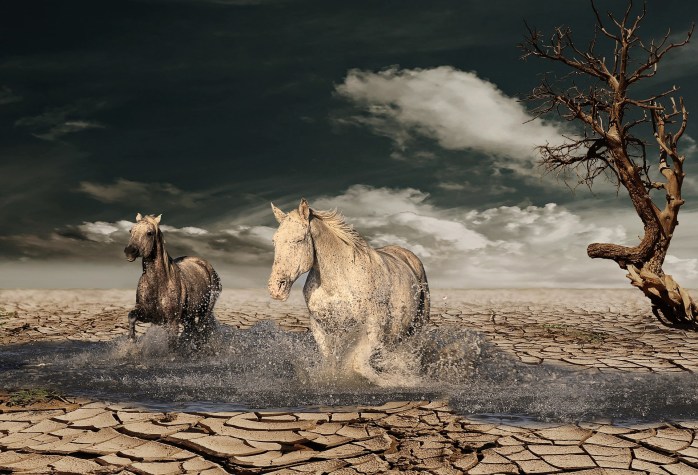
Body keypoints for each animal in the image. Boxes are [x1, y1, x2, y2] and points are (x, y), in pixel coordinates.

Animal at [124, 213, 222, 349]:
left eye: (149, 233)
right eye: (131, 231)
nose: (130, 251)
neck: (159, 284)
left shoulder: (173, 322)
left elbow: (172, 344)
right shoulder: (148, 315)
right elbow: (131, 316)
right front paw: (132, 340)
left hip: (204, 311)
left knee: (200, 330)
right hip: (188, 317)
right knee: (191, 331)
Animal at [268, 198, 430, 383]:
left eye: (299, 240)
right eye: (274, 241)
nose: (276, 289)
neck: (338, 282)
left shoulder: (373, 327)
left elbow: (359, 365)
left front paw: (397, 381)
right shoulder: (321, 327)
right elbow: (331, 362)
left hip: (419, 325)